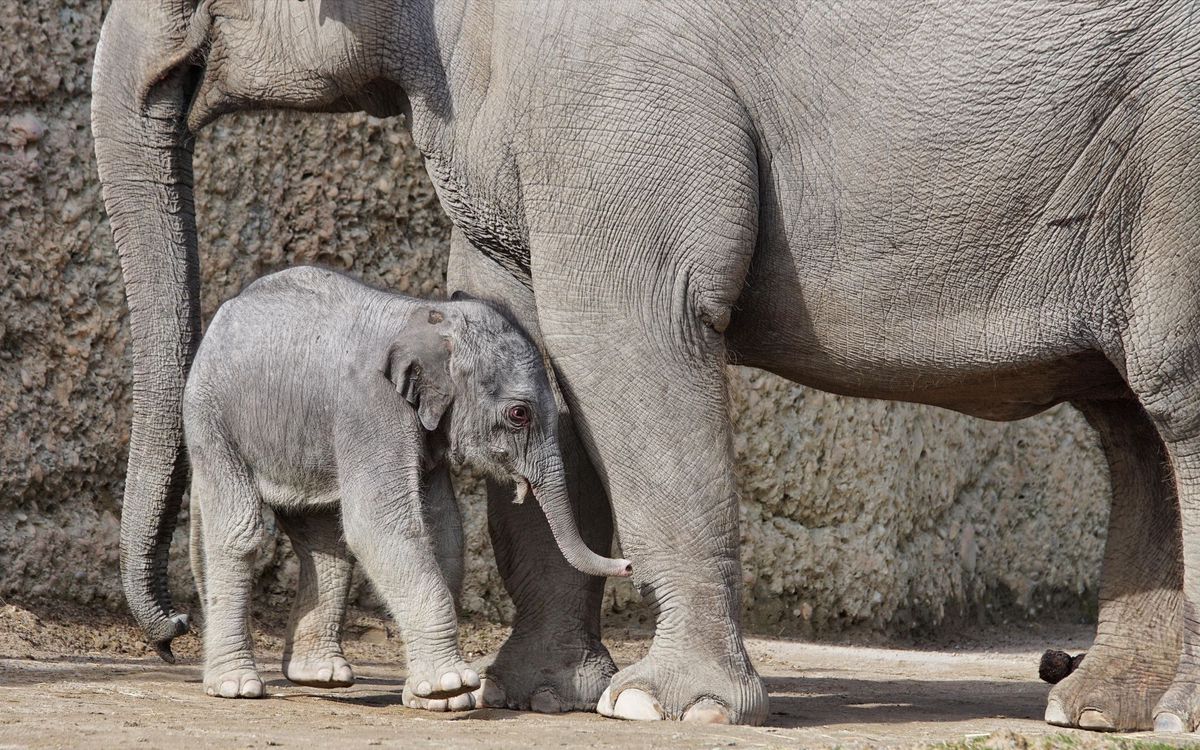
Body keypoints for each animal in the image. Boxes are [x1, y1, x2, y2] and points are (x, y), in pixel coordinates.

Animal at [183, 266, 631, 703]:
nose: (626, 565)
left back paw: (321, 676)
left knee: (324, 538)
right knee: (240, 531)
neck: (429, 318)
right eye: (519, 414)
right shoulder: (371, 406)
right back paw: (236, 686)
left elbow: (443, 531)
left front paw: (433, 698)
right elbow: (380, 526)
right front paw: (452, 685)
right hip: (212, 418)